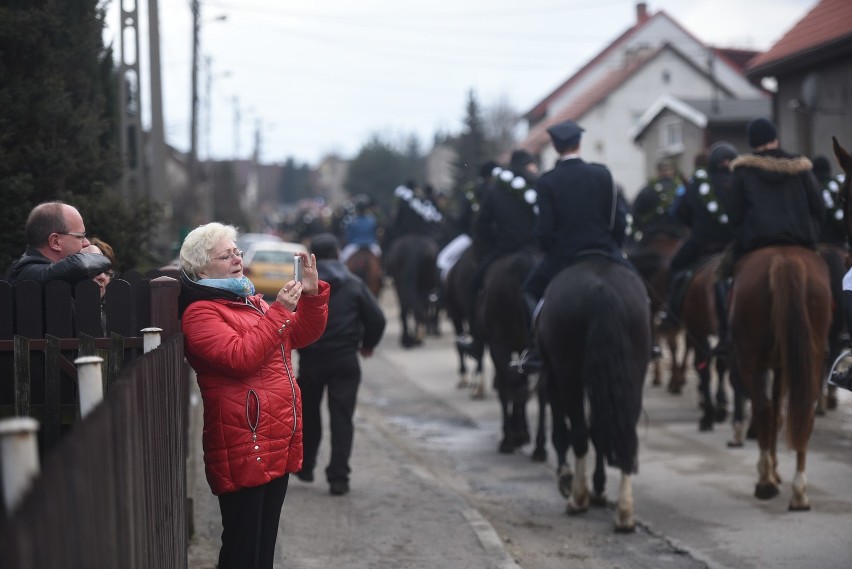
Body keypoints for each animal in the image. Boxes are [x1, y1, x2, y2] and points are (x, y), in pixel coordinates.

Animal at [480, 251, 544, 460]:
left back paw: (510, 440)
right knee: (539, 392)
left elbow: (508, 388)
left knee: (511, 385)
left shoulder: (498, 347)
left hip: (499, 345)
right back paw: (539, 447)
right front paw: (521, 432)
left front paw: (515, 435)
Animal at [540, 255, 652, 532]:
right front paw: (600, 487)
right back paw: (624, 512)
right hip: (634, 370)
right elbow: (600, 430)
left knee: (579, 432)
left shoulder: (551, 374)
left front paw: (566, 477)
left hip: (567, 372)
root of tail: (602, 290)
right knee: (623, 432)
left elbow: (562, 431)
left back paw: (578, 497)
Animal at [724, 244, 832, 506]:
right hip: (811, 359)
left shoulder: (764, 365)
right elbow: (779, 415)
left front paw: (771, 471)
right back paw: (799, 492)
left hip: (750, 361)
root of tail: (785, 259)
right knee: (804, 412)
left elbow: (772, 413)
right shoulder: (783, 366)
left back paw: (765, 482)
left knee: (764, 409)